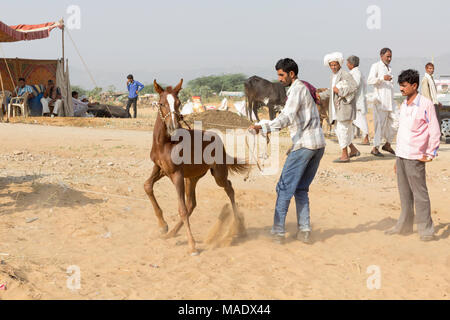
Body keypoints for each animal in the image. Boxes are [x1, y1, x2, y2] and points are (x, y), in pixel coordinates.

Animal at [145, 80, 248, 255]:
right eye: (162, 103)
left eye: (178, 103)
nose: (173, 127)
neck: (165, 143)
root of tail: (218, 138)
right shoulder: (160, 169)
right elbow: (147, 186)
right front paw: (163, 226)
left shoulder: (176, 174)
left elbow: (181, 209)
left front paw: (192, 245)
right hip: (192, 178)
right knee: (192, 203)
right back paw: (171, 233)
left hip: (218, 174)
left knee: (229, 188)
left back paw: (239, 226)